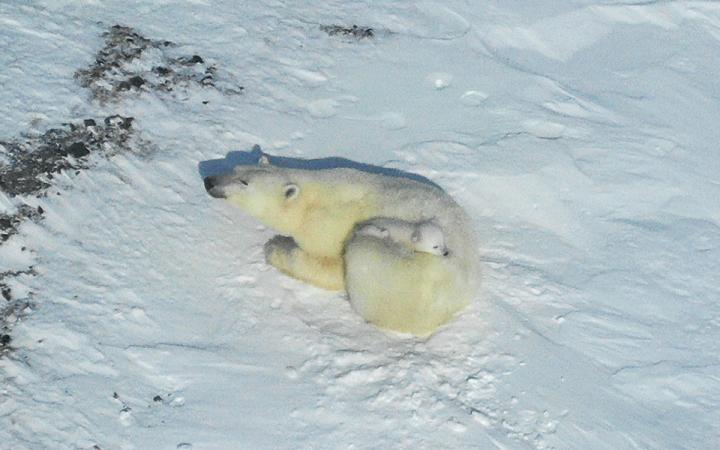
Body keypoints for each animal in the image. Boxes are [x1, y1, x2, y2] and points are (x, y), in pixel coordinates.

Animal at [202, 155, 480, 334]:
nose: (209, 181)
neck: (311, 198)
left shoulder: (328, 224)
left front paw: (275, 247)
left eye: (244, 183)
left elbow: (330, 268)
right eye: (235, 168)